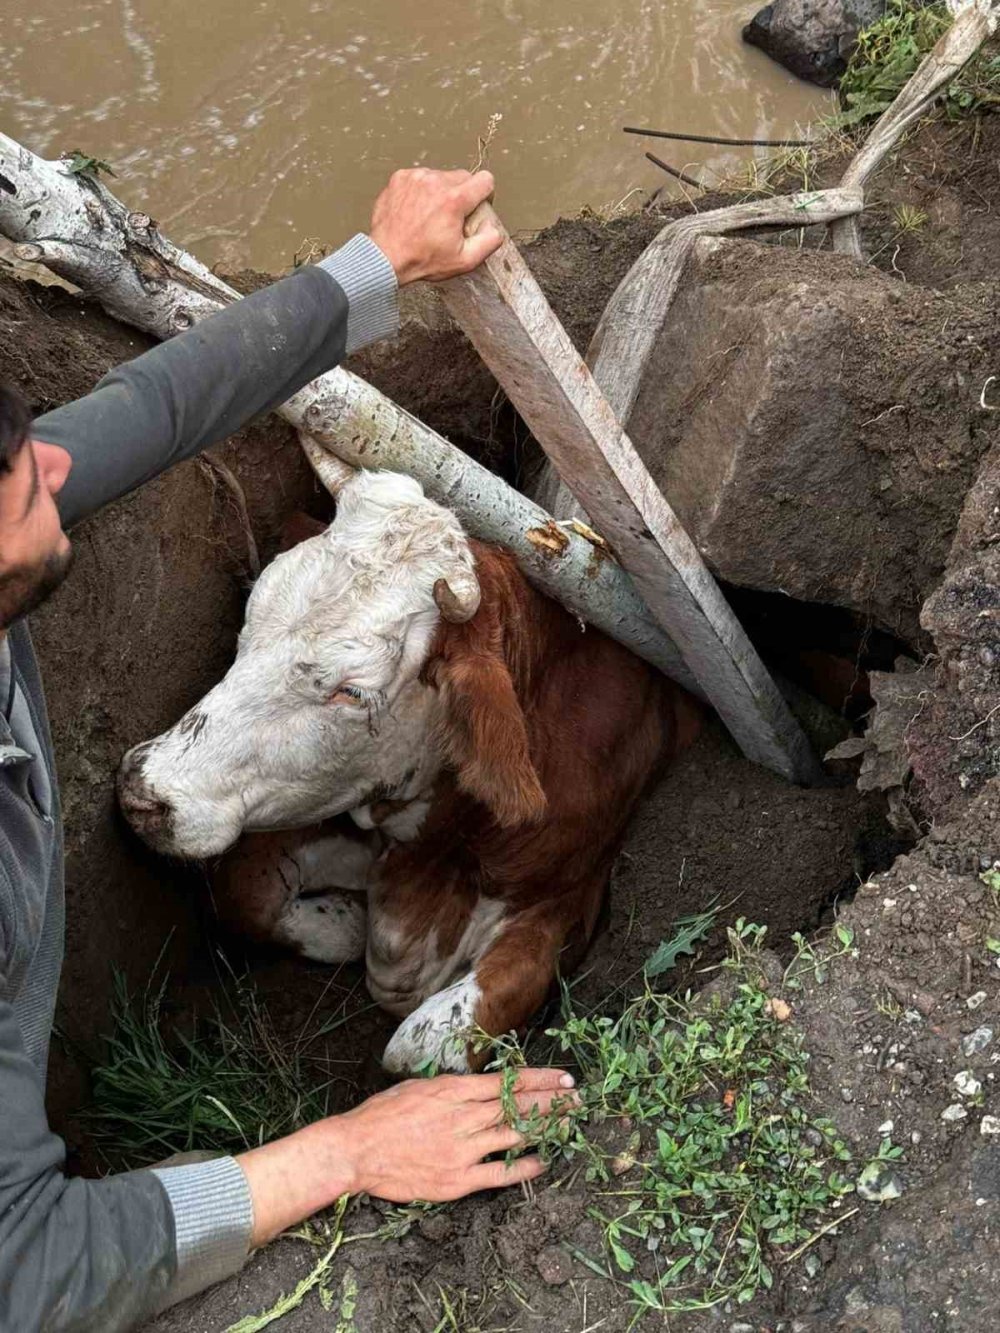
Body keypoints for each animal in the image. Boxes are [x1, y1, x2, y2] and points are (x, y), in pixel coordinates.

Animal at [119, 469, 704, 1071]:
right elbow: (243, 891)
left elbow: (417, 1046)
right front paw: (345, 920)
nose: (143, 791)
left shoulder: (570, 899)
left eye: (352, 692)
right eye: (252, 611)